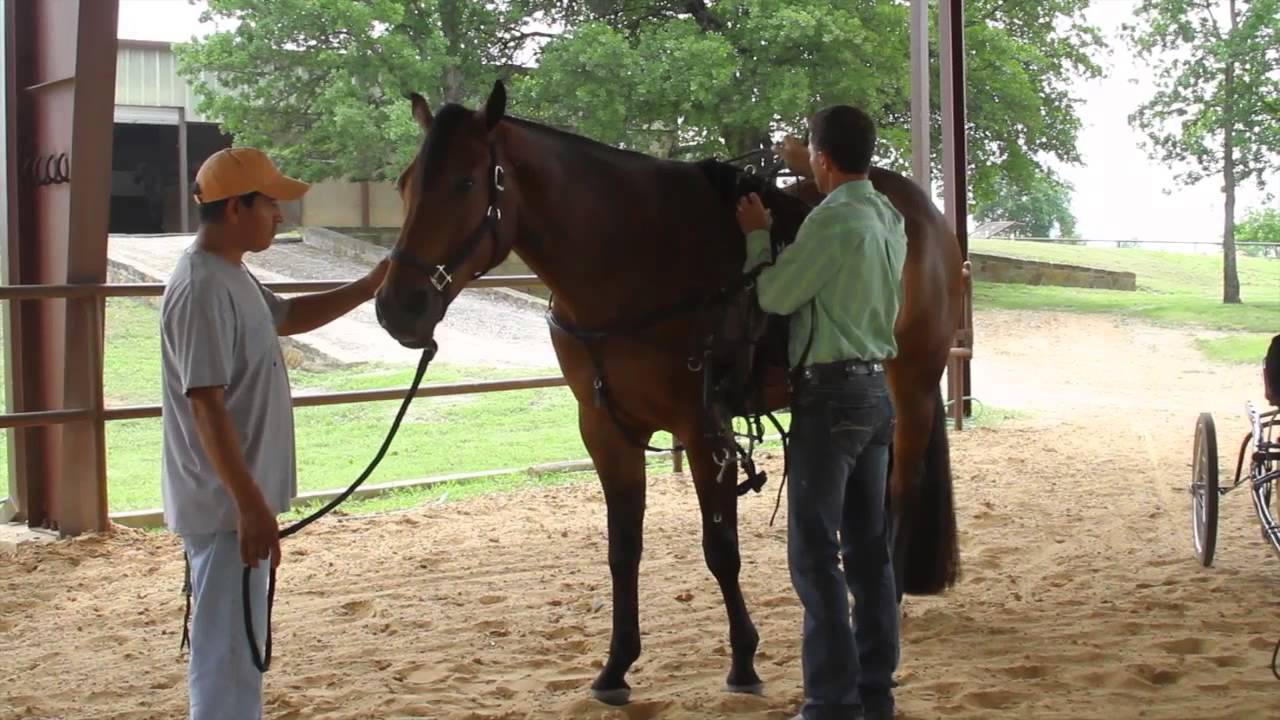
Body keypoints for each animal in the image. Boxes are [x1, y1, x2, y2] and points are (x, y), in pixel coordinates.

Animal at [374, 80, 964, 705]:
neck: (631, 258)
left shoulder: (703, 428)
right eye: (405, 183)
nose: (399, 306)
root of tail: (920, 210)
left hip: (913, 384)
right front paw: (616, 667)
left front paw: (744, 661)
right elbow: (623, 550)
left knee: (899, 493)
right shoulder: (605, 430)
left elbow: (720, 549)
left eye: (465, 182)